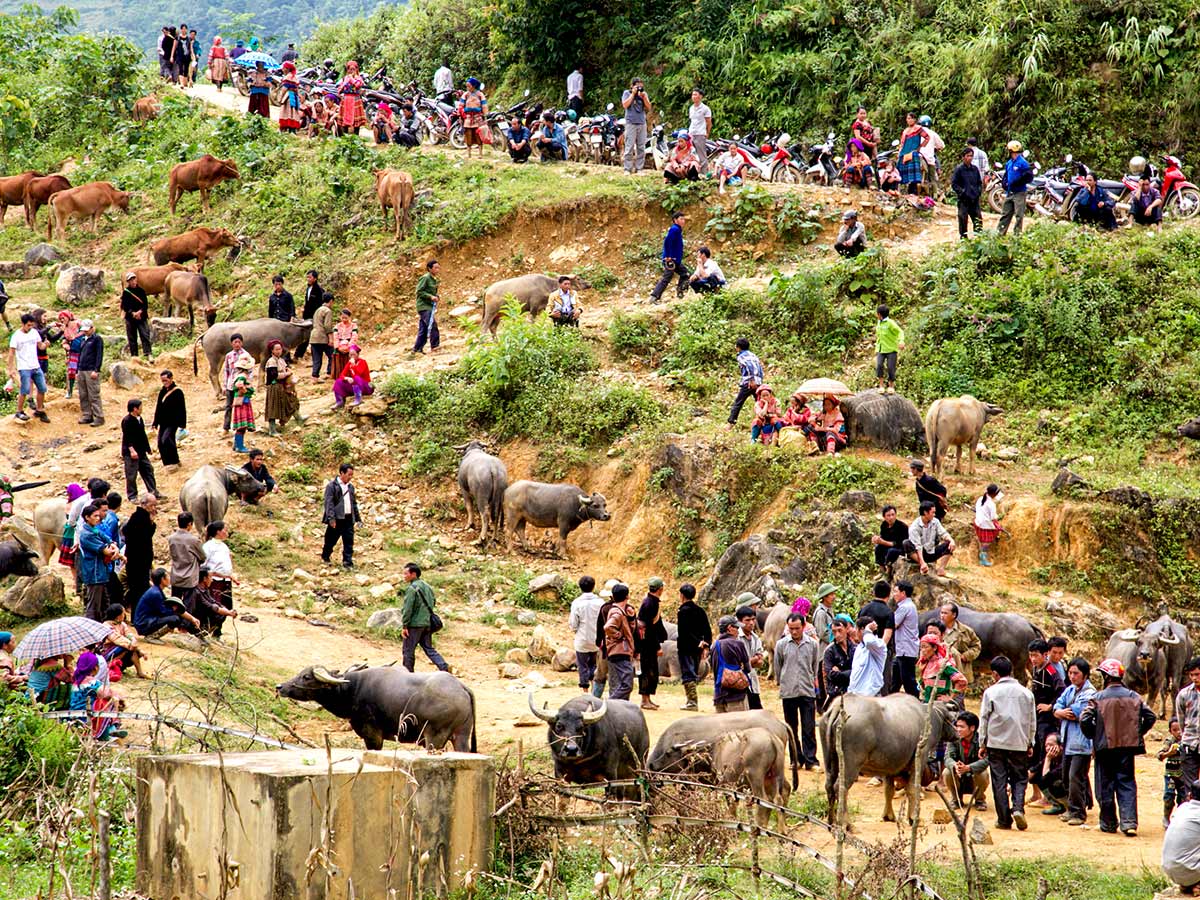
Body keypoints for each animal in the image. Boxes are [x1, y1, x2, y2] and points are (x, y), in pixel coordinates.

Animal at [278, 662, 475, 753]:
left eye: (306, 677)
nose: (280, 687)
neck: (353, 689)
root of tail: (461, 687)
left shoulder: (373, 735)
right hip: (461, 736)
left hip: (434, 738)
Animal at [825, 696, 955, 830]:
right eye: (951, 719)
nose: (956, 734)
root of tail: (836, 707)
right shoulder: (920, 758)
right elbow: (912, 788)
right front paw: (914, 818)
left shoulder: (890, 767)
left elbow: (889, 790)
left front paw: (888, 816)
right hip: (850, 765)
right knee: (841, 788)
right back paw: (846, 824)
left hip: (831, 763)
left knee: (829, 786)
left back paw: (831, 822)